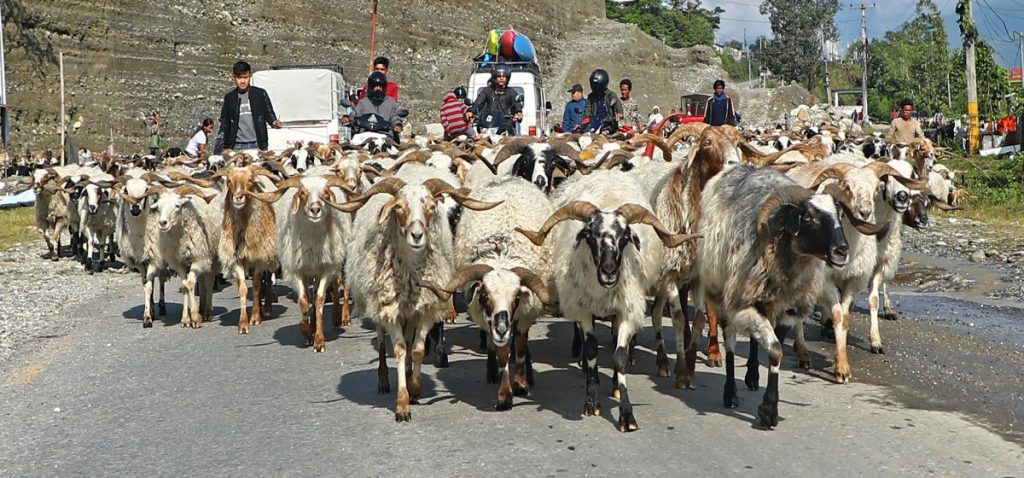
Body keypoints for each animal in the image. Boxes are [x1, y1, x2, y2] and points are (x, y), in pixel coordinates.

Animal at [240, 167, 356, 352]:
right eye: (302, 193)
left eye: (325, 194)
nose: (315, 209)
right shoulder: (297, 270)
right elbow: (303, 302)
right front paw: (306, 331)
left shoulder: (326, 269)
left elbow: (319, 300)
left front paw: (318, 340)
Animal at [337, 169, 501, 421]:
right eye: (399, 207)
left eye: (432, 207)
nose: (416, 235)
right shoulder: (390, 308)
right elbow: (399, 349)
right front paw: (402, 405)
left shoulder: (425, 309)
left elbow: (417, 350)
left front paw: (414, 388)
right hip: (379, 306)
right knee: (383, 343)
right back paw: (383, 380)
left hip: (410, 313)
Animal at [419, 177, 557, 411]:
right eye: (484, 296)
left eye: (516, 298)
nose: (501, 329)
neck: (502, 254)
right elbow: (501, 354)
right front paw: (504, 395)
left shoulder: (525, 314)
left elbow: (521, 346)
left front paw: (521, 384)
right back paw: (492, 372)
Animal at [516, 169, 700, 431]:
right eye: (590, 235)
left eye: (625, 237)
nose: (609, 270)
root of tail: (607, 173)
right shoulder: (583, 310)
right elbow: (592, 349)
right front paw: (591, 401)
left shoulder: (627, 311)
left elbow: (619, 356)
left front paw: (626, 413)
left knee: (614, 342)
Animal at [696, 165, 864, 429]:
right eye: (807, 217)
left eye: (839, 215)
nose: (841, 251)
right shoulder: (743, 304)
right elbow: (775, 350)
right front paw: (769, 410)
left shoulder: (788, 310)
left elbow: (777, 350)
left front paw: (766, 401)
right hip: (723, 294)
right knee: (730, 340)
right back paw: (731, 393)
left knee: (754, 339)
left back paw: (752, 377)